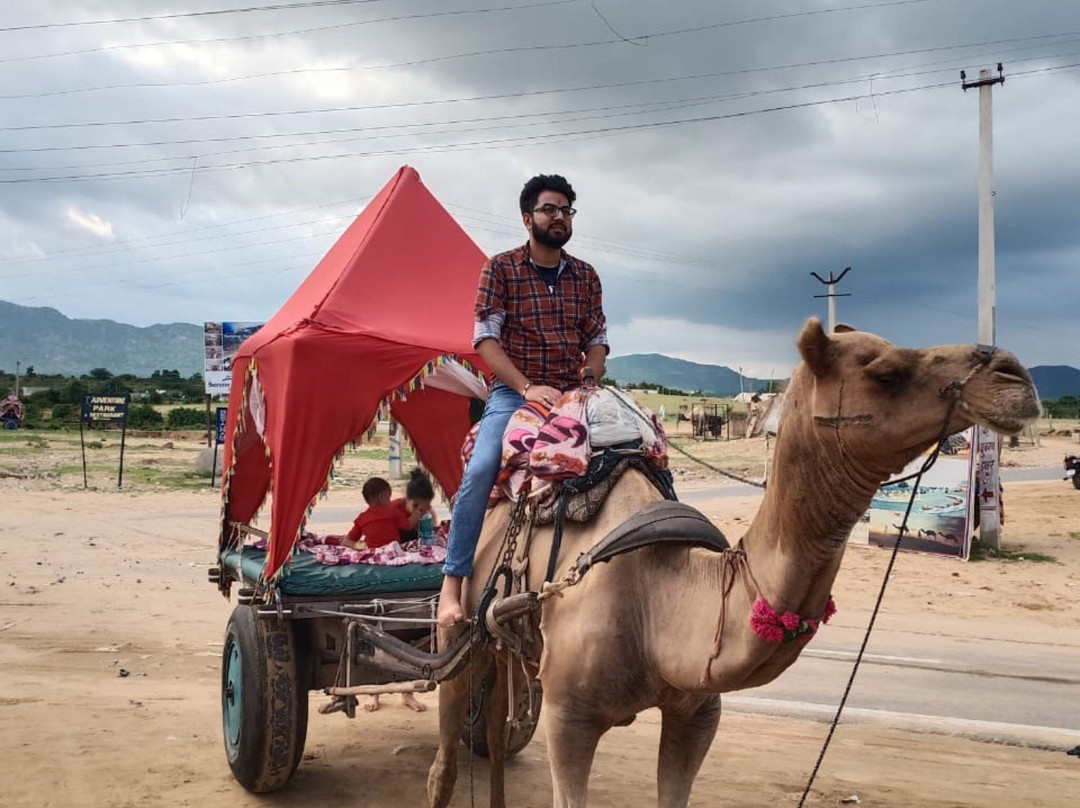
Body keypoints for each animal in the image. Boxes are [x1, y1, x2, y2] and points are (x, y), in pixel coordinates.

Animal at [427, 318, 1039, 808]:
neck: (660, 601)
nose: (1015, 376)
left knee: (496, 733)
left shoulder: (697, 712)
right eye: (885, 371)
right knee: (446, 759)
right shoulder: (568, 715)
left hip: (505, 645)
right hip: (456, 633)